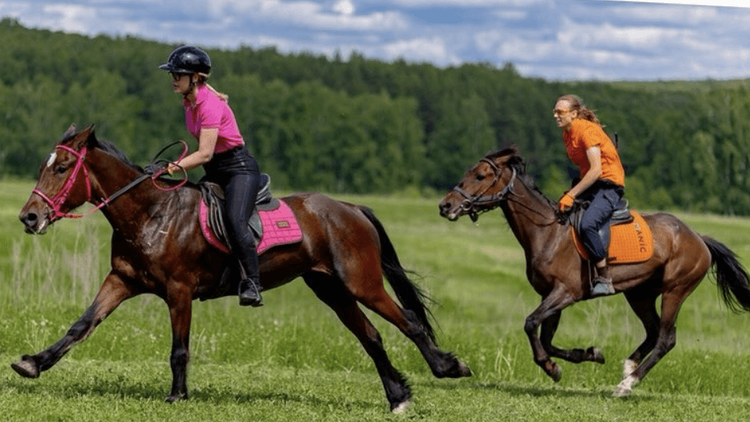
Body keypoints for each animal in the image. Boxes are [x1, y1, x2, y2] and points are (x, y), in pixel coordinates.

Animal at [14, 125, 471, 412]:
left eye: (61, 168)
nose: (29, 218)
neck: (151, 213)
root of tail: (351, 208)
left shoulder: (179, 290)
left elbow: (179, 348)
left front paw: (177, 397)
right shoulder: (122, 280)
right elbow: (81, 325)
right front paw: (32, 363)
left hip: (362, 283)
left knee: (408, 320)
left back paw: (449, 367)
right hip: (331, 289)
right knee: (371, 336)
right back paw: (398, 396)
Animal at [438, 145, 750, 397]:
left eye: (480, 176)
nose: (445, 205)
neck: (548, 233)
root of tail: (699, 238)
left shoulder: (565, 293)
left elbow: (530, 324)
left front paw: (551, 368)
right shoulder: (551, 296)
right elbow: (546, 339)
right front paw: (589, 354)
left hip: (675, 290)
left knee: (665, 339)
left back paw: (627, 384)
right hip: (640, 293)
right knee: (652, 332)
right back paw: (628, 367)